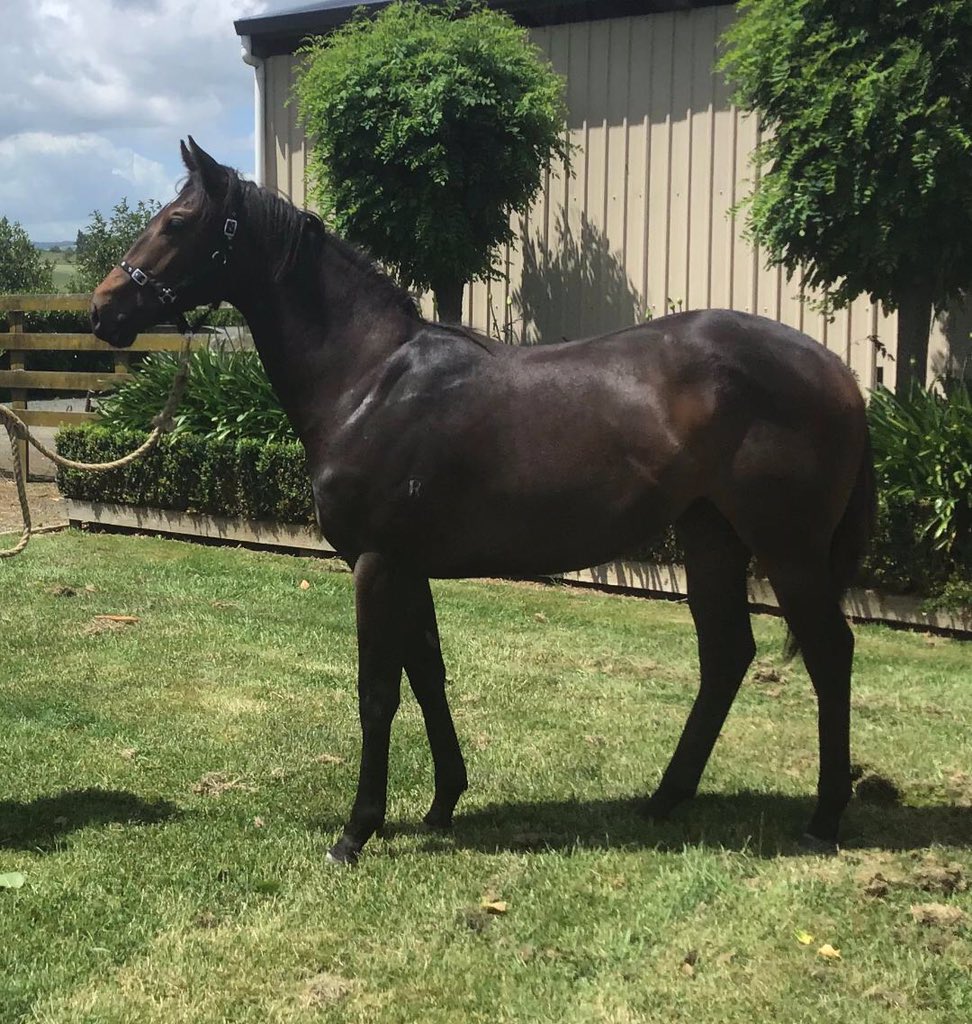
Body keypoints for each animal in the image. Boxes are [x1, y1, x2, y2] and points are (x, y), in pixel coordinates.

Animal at [91, 138, 875, 864]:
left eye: (178, 221)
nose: (104, 309)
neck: (368, 379)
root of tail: (834, 371)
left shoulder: (377, 562)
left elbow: (378, 691)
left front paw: (356, 831)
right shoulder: (408, 566)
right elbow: (428, 675)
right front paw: (443, 802)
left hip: (788, 547)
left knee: (829, 653)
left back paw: (824, 819)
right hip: (711, 534)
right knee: (726, 654)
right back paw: (665, 799)